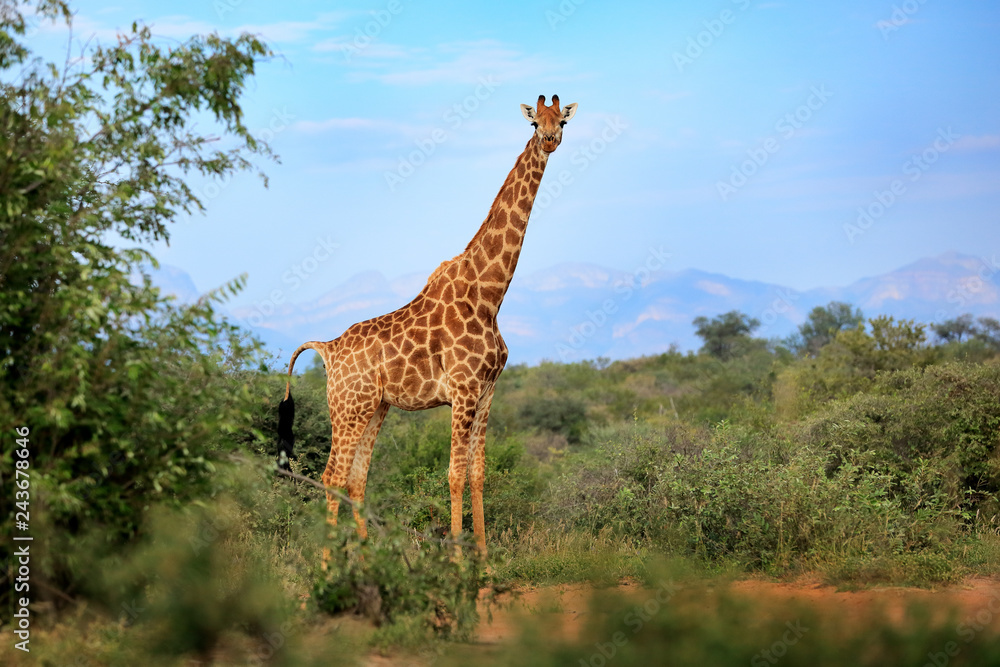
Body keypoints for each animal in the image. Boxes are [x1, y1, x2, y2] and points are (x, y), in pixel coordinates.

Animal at [277, 94, 578, 556]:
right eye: (533, 123)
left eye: (562, 121)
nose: (548, 139)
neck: (489, 295)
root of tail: (327, 349)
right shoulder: (463, 390)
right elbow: (453, 475)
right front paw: (458, 560)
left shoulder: (487, 391)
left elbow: (477, 473)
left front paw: (485, 561)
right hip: (348, 407)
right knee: (332, 476)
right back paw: (328, 568)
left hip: (375, 407)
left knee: (355, 478)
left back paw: (367, 560)